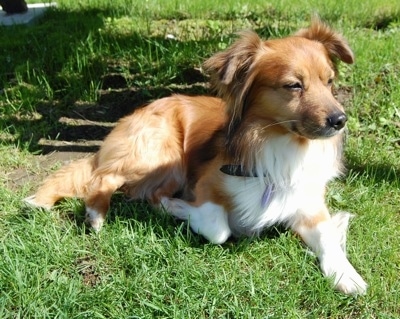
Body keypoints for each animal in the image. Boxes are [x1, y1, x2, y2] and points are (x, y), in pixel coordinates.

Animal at [25, 19, 368, 296]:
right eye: (294, 85)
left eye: (330, 81)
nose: (339, 120)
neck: (279, 142)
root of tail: (134, 114)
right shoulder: (205, 181)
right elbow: (219, 229)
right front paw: (183, 210)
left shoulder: (307, 202)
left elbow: (327, 236)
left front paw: (346, 274)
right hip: (163, 153)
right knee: (106, 177)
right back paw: (98, 215)